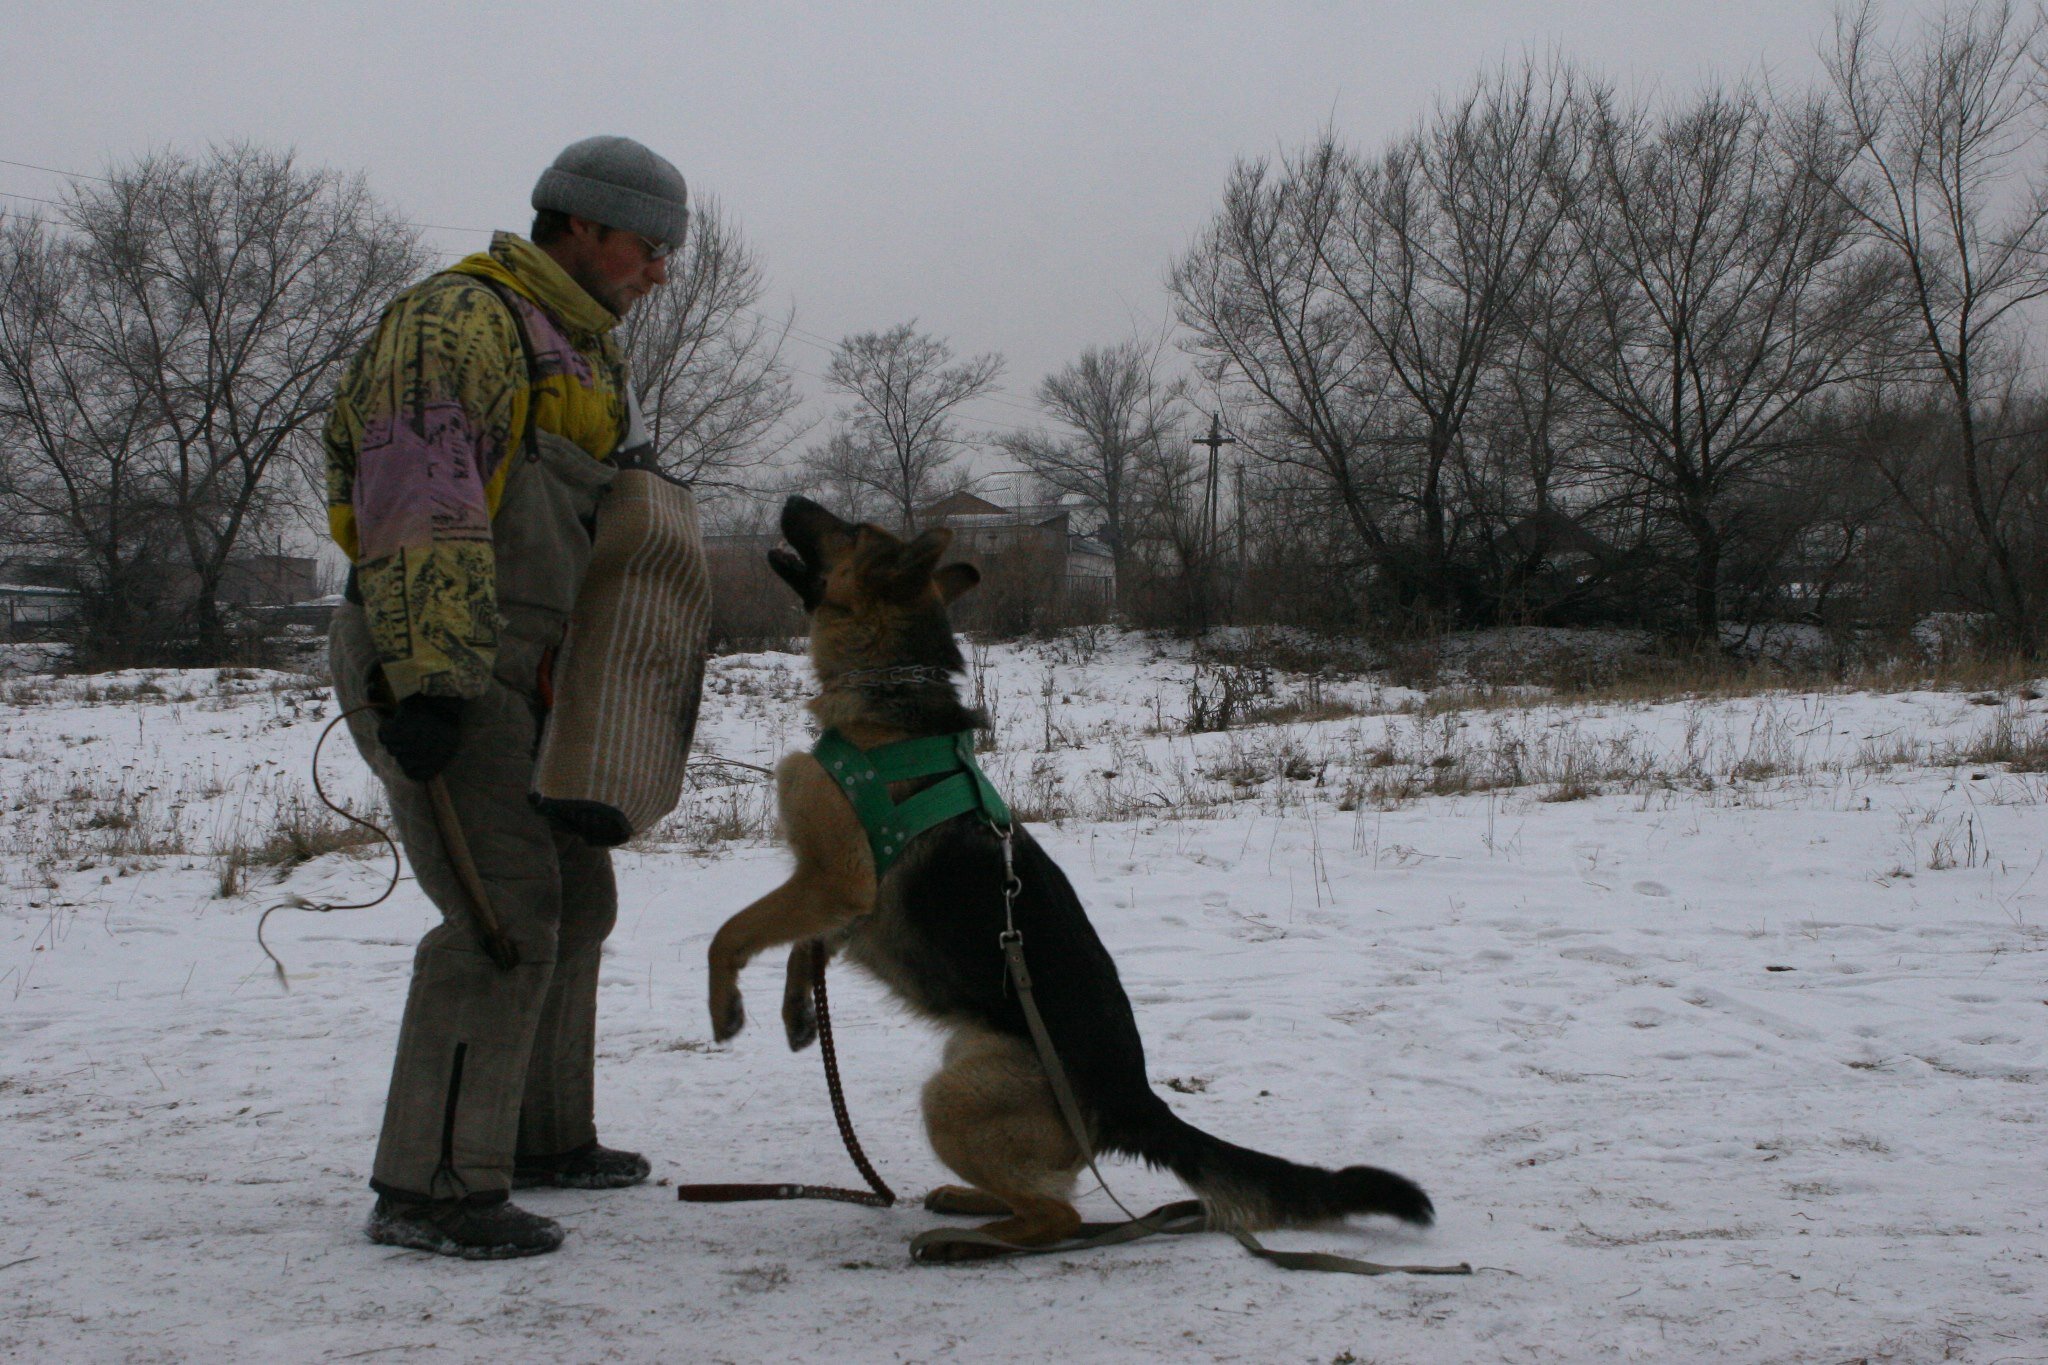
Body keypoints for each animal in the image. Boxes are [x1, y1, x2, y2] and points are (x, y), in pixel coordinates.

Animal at [700, 497, 1425, 1252]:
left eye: (850, 532)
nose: (789, 502)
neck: (890, 683)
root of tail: (1135, 1100)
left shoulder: (835, 879)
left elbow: (733, 931)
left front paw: (724, 1005)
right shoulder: (844, 898)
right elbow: (803, 944)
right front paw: (797, 1011)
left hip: (952, 1094)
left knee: (1059, 1218)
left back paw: (967, 1242)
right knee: (1048, 1196)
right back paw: (969, 1204)